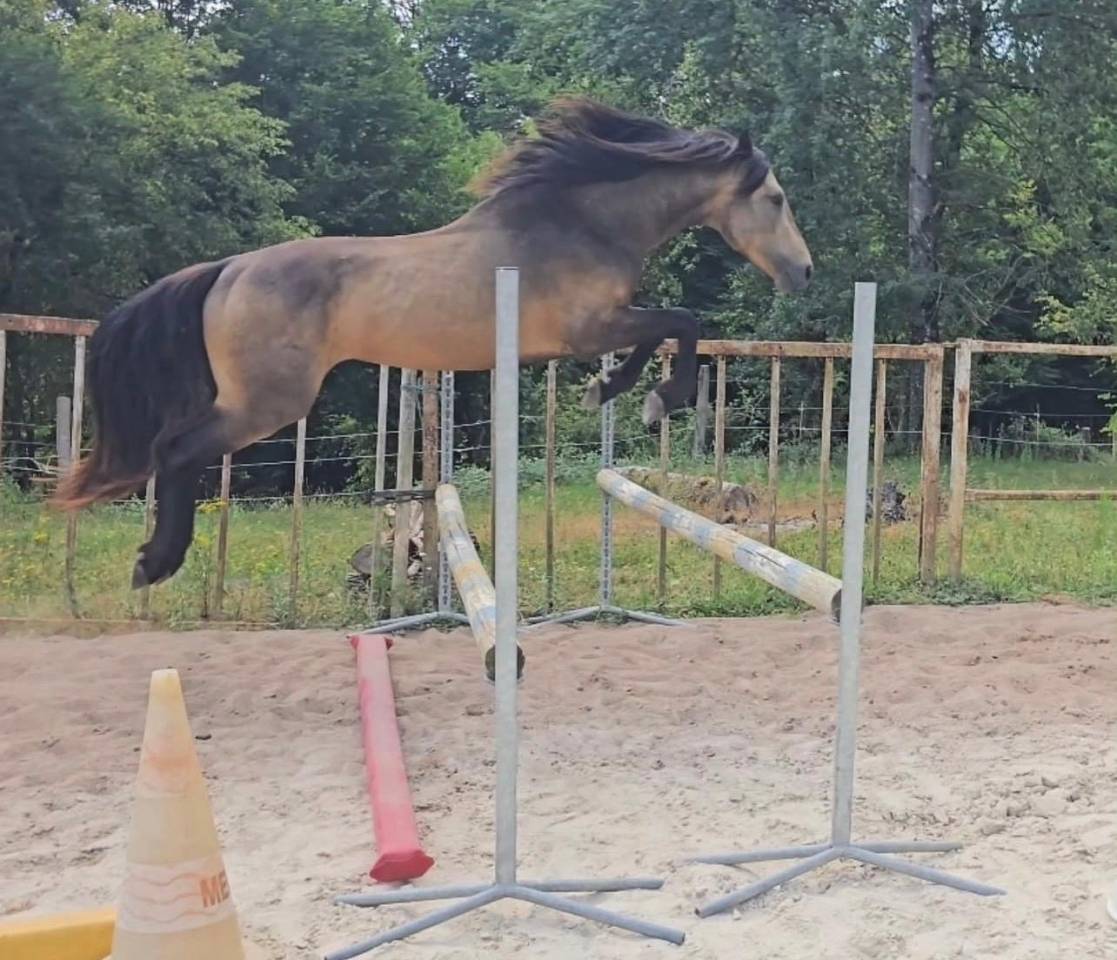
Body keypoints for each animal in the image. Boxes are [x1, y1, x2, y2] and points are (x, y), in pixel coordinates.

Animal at [53, 97, 813, 589]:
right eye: (775, 199)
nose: (803, 273)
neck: (581, 221)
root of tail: (227, 270)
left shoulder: (589, 331)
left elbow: (667, 329)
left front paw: (614, 390)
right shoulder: (588, 326)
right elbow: (680, 321)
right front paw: (652, 397)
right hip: (266, 403)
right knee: (173, 451)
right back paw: (155, 563)